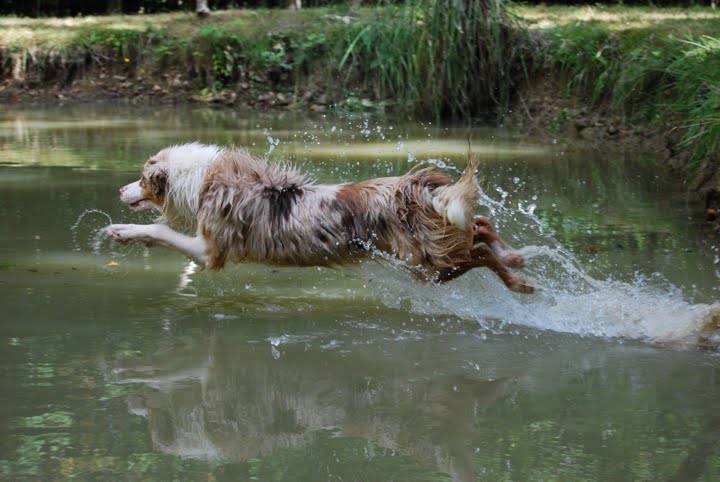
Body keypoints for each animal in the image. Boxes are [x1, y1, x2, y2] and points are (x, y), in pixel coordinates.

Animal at [105, 142, 536, 294]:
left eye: (141, 179)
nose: (119, 189)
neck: (198, 178)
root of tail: (416, 189)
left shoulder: (209, 250)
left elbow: (158, 230)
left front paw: (122, 231)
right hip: (435, 246)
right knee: (480, 226)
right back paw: (515, 258)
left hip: (426, 265)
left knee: (479, 253)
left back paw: (517, 280)